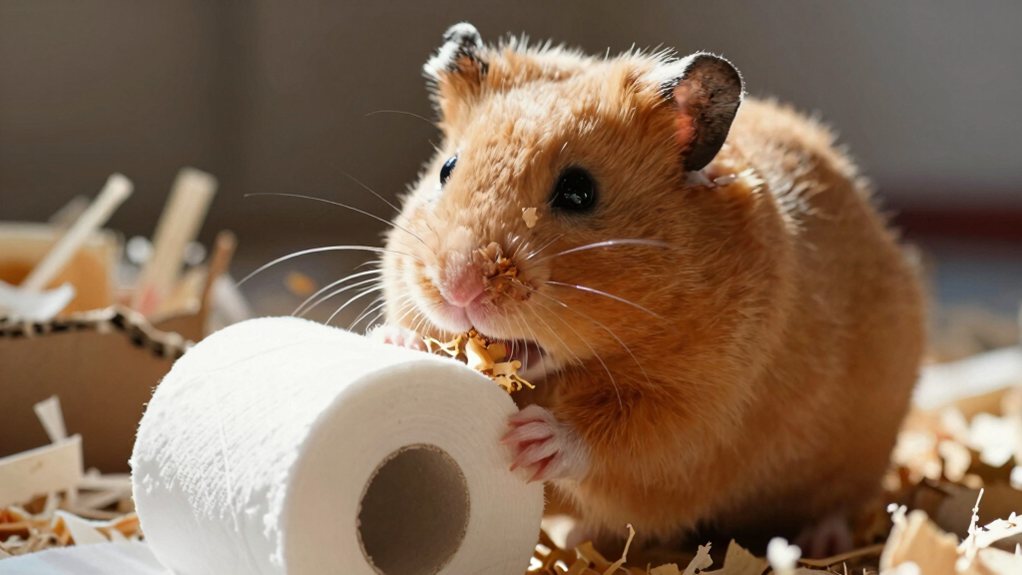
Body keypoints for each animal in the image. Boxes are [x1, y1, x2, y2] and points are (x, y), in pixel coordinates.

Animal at [375, 22, 925, 556]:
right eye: (446, 170)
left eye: (579, 191)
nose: (458, 288)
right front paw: (396, 340)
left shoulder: (699, 411)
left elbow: (620, 442)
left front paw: (533, 440)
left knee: (840, 504)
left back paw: (822, 541)